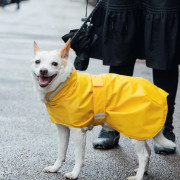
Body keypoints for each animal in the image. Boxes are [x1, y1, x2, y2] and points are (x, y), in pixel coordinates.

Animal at [31, 40, 176, 179]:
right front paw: (55, 168)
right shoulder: (62, 129)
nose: (43, 71)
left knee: (144, 156)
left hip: (135, 132)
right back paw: (143, 171)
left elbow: (79, 157)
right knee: (148, 152)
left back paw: (138, 177)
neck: (65, 86)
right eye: (37, 62)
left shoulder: (78, 132)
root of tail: (158, 93)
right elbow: (61, 153)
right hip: (138, 133)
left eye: (54, 63)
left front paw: (74, 174)